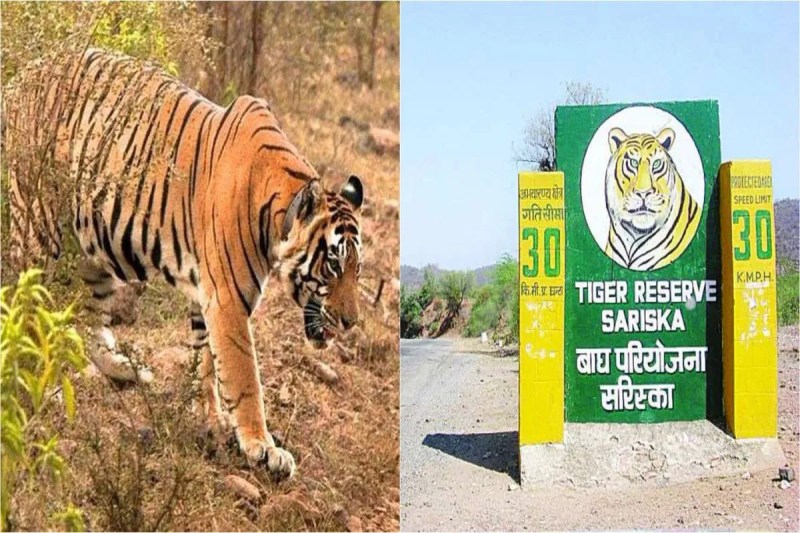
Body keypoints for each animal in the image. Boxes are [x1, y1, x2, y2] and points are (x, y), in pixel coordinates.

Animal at [2, 48, 366, 479]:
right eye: (332, 265)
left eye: (357, 270)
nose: (351, 322)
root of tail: (23, 77)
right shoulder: (228, 299)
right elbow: (244, 375)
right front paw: (262, 446)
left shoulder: (208, 294)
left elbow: (207, 359)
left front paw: (212, 419)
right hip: (39, 229)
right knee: (25, 306)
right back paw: (33, 386)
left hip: (93, 249)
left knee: (91, 320)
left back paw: (127, 368)